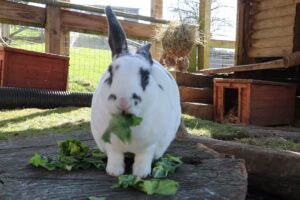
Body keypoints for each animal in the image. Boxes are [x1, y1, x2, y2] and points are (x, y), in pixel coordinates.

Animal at [91, 5, 180, 178]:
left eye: (145, 76)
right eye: (110, 73)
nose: (123, 101)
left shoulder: (150, 145)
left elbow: (143, 158)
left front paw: (141, 174)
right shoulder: (110, 145)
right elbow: (115, 156)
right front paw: (114, 172)